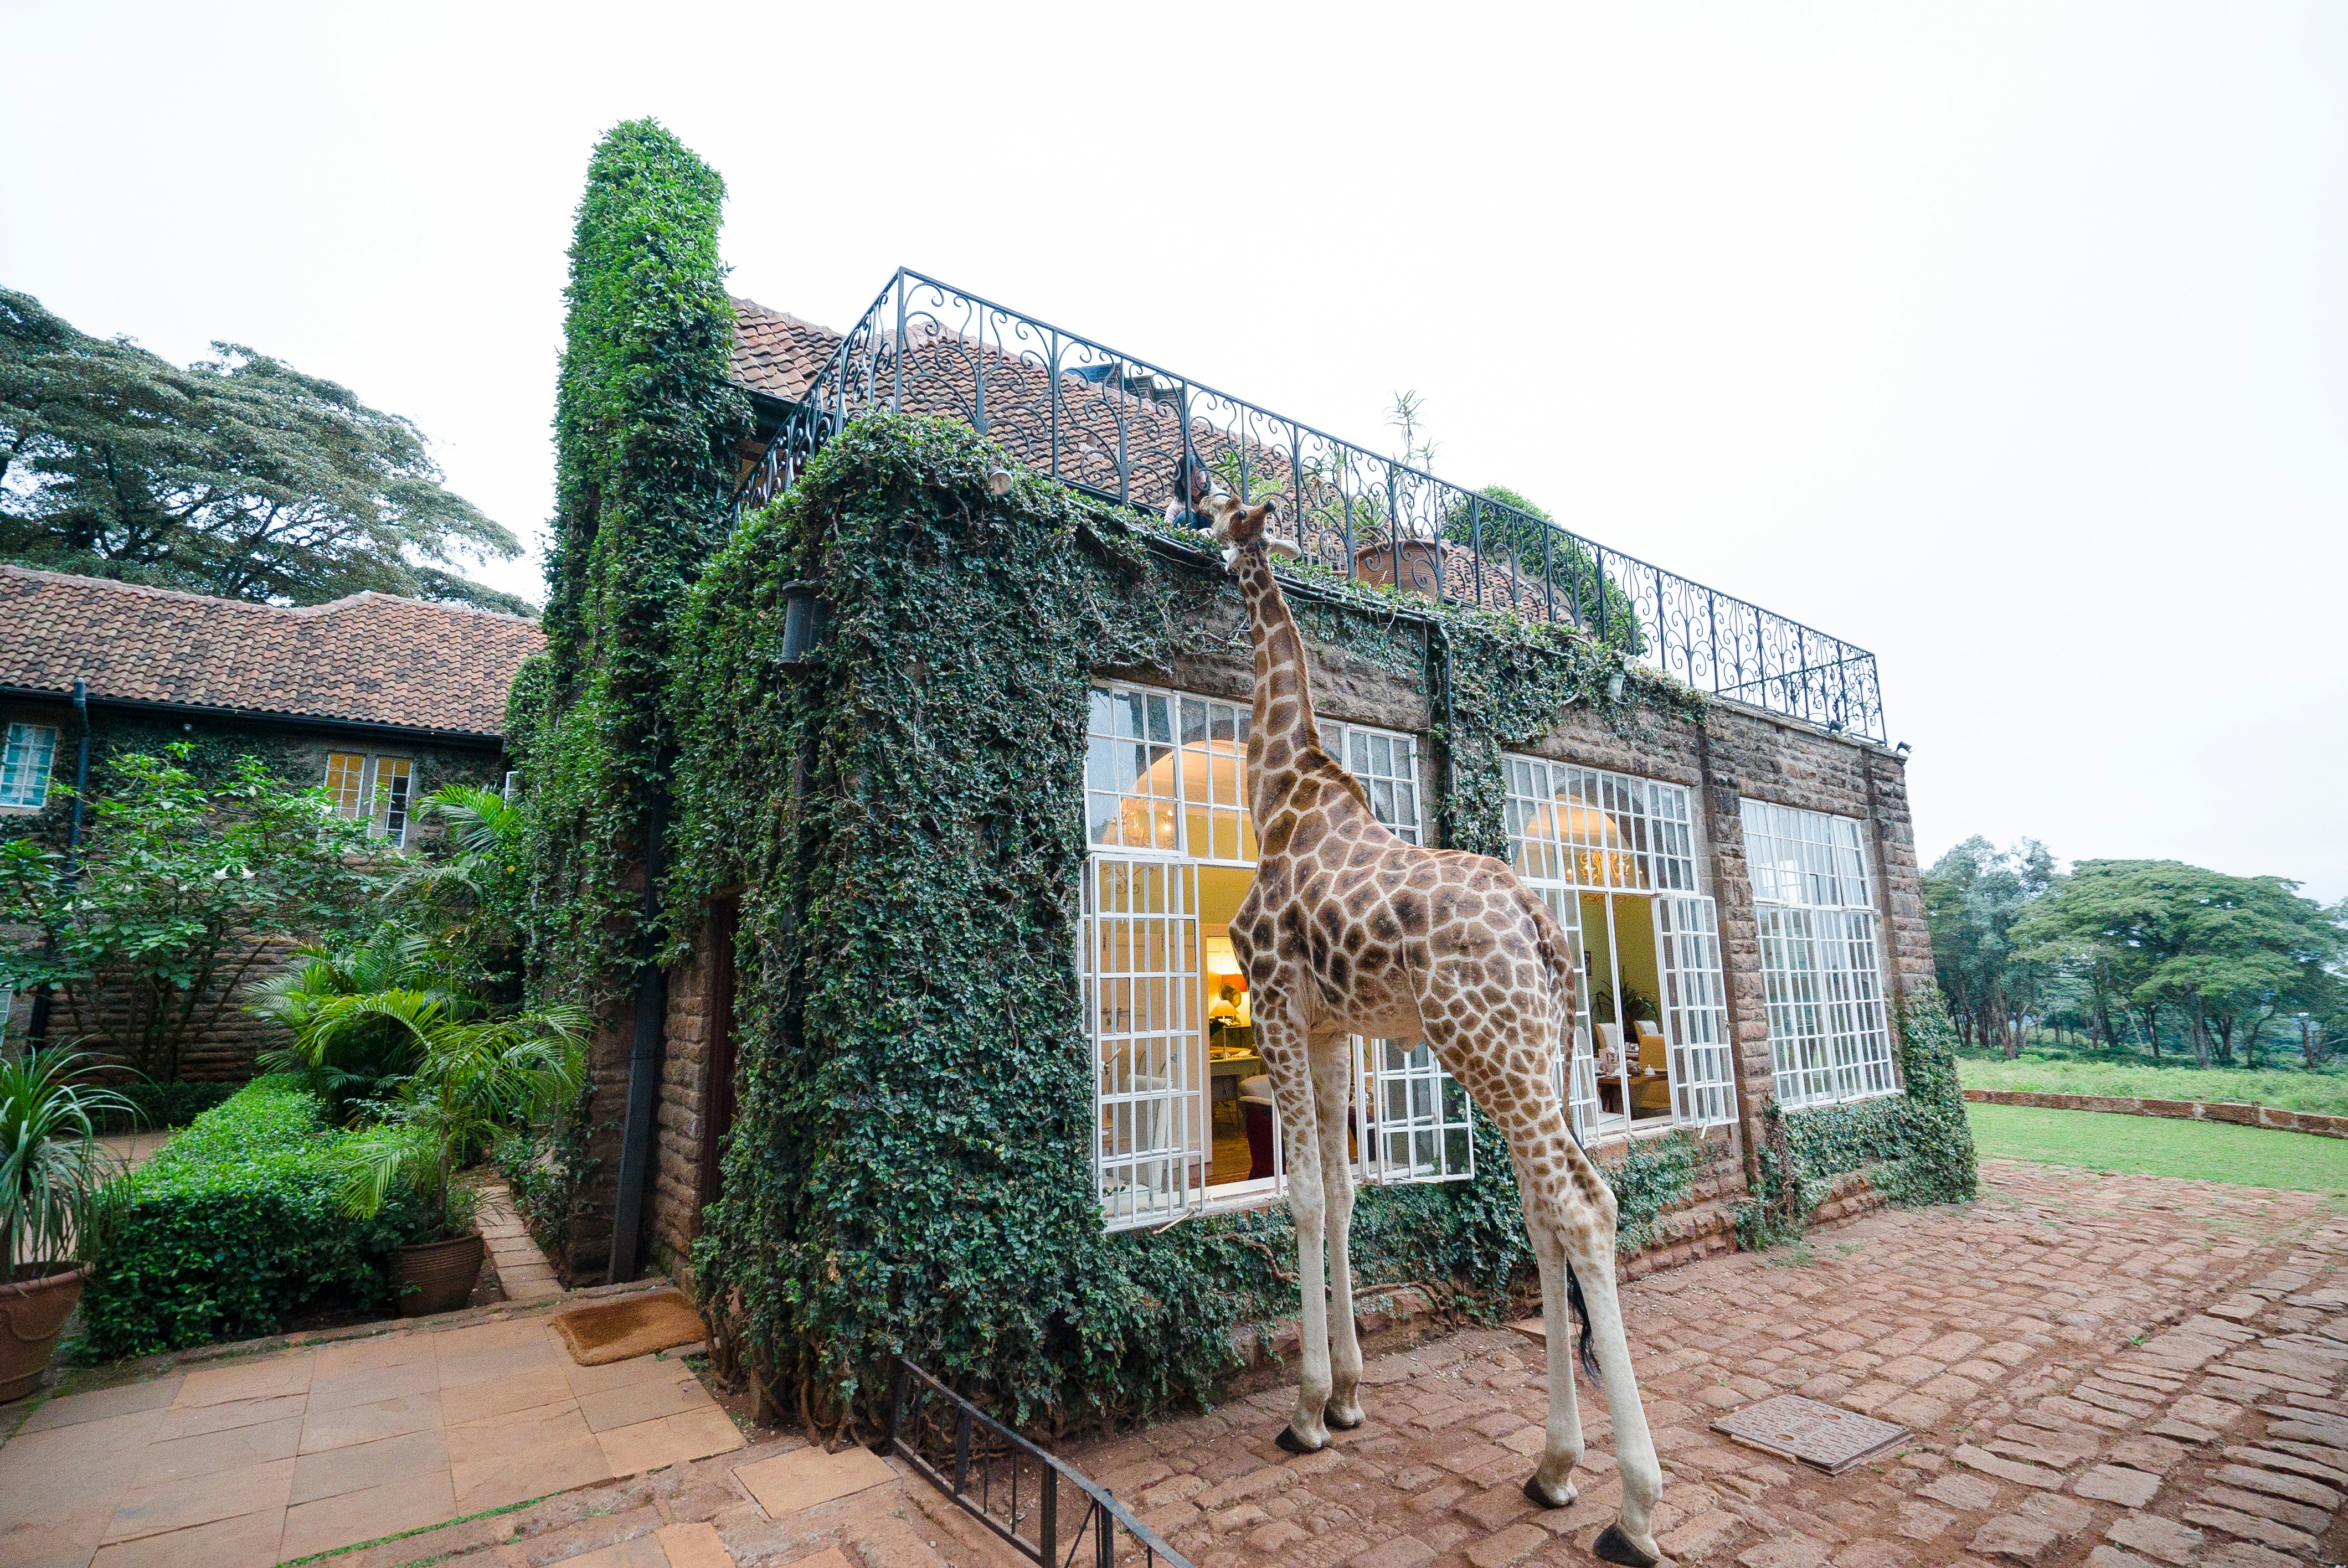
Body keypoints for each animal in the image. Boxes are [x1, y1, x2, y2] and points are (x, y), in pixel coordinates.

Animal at [1201, 493, 1665, 1568]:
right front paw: (1350, 1396)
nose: (1189, 524)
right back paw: (1553, 1469)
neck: (1278, 795)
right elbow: (1341, 1195)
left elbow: (1302, 1196)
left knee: (1582, 1205)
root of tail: (1546, 931)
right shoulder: (1330, 1030)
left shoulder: (1276, 1002)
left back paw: (1632, 1511)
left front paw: (1306, 1411)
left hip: (1483, 1045)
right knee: (1545, 1210)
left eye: (1210, 508)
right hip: (1529, 1053)